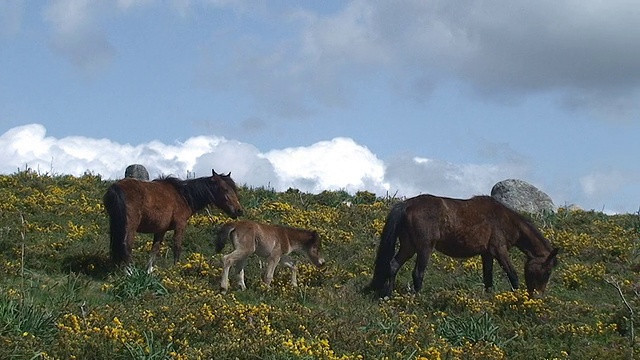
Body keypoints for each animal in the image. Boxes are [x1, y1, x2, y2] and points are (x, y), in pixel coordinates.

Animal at [104, 169, 244, 270]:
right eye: (225, 189)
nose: (239, 211)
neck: (184, 195)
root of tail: (116, 188)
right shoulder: (180, 225)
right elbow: (177, 247)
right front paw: (175, 269)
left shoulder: (160, 230)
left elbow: (154, 250)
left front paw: (149, 271)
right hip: (130, 226)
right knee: (126, 246)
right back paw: (130, 272)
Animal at [364, 194, 560, 298]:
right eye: (547, 271)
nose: (537, 296)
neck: (506, 220)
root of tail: (407, 204)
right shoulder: (499, 250)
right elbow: (512, 275)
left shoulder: (487, 253)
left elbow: (488, 278)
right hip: (424, 248)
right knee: (417, 273)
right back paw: (418, 297)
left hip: (408, 246)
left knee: (393, 265)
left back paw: (388, 295)